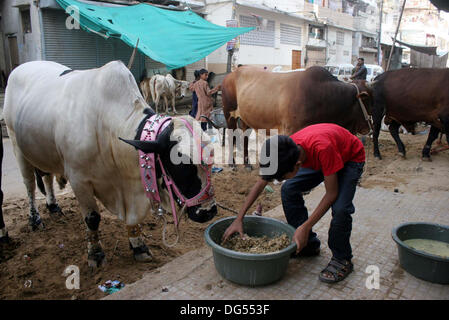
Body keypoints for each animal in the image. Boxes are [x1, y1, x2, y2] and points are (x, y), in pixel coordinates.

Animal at [3, 60, 217, 268]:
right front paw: (95, 254)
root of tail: (22, 67)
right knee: (30, 185)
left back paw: (53, 206)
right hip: (16, 145)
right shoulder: (78, 180)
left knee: (46, 177)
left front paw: (138, 246)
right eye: (181, 165)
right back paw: (35, 219)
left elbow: (134, 222)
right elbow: (92, 218)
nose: (208, 211)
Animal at [205, 64, 372, 166]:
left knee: (244, 137)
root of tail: (230, 75)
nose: (368, 128)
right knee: (231, 136)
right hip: (229, 113)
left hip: (246, 118)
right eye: (368, 99)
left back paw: (247, 163)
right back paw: (232, 163)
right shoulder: (291, 130)